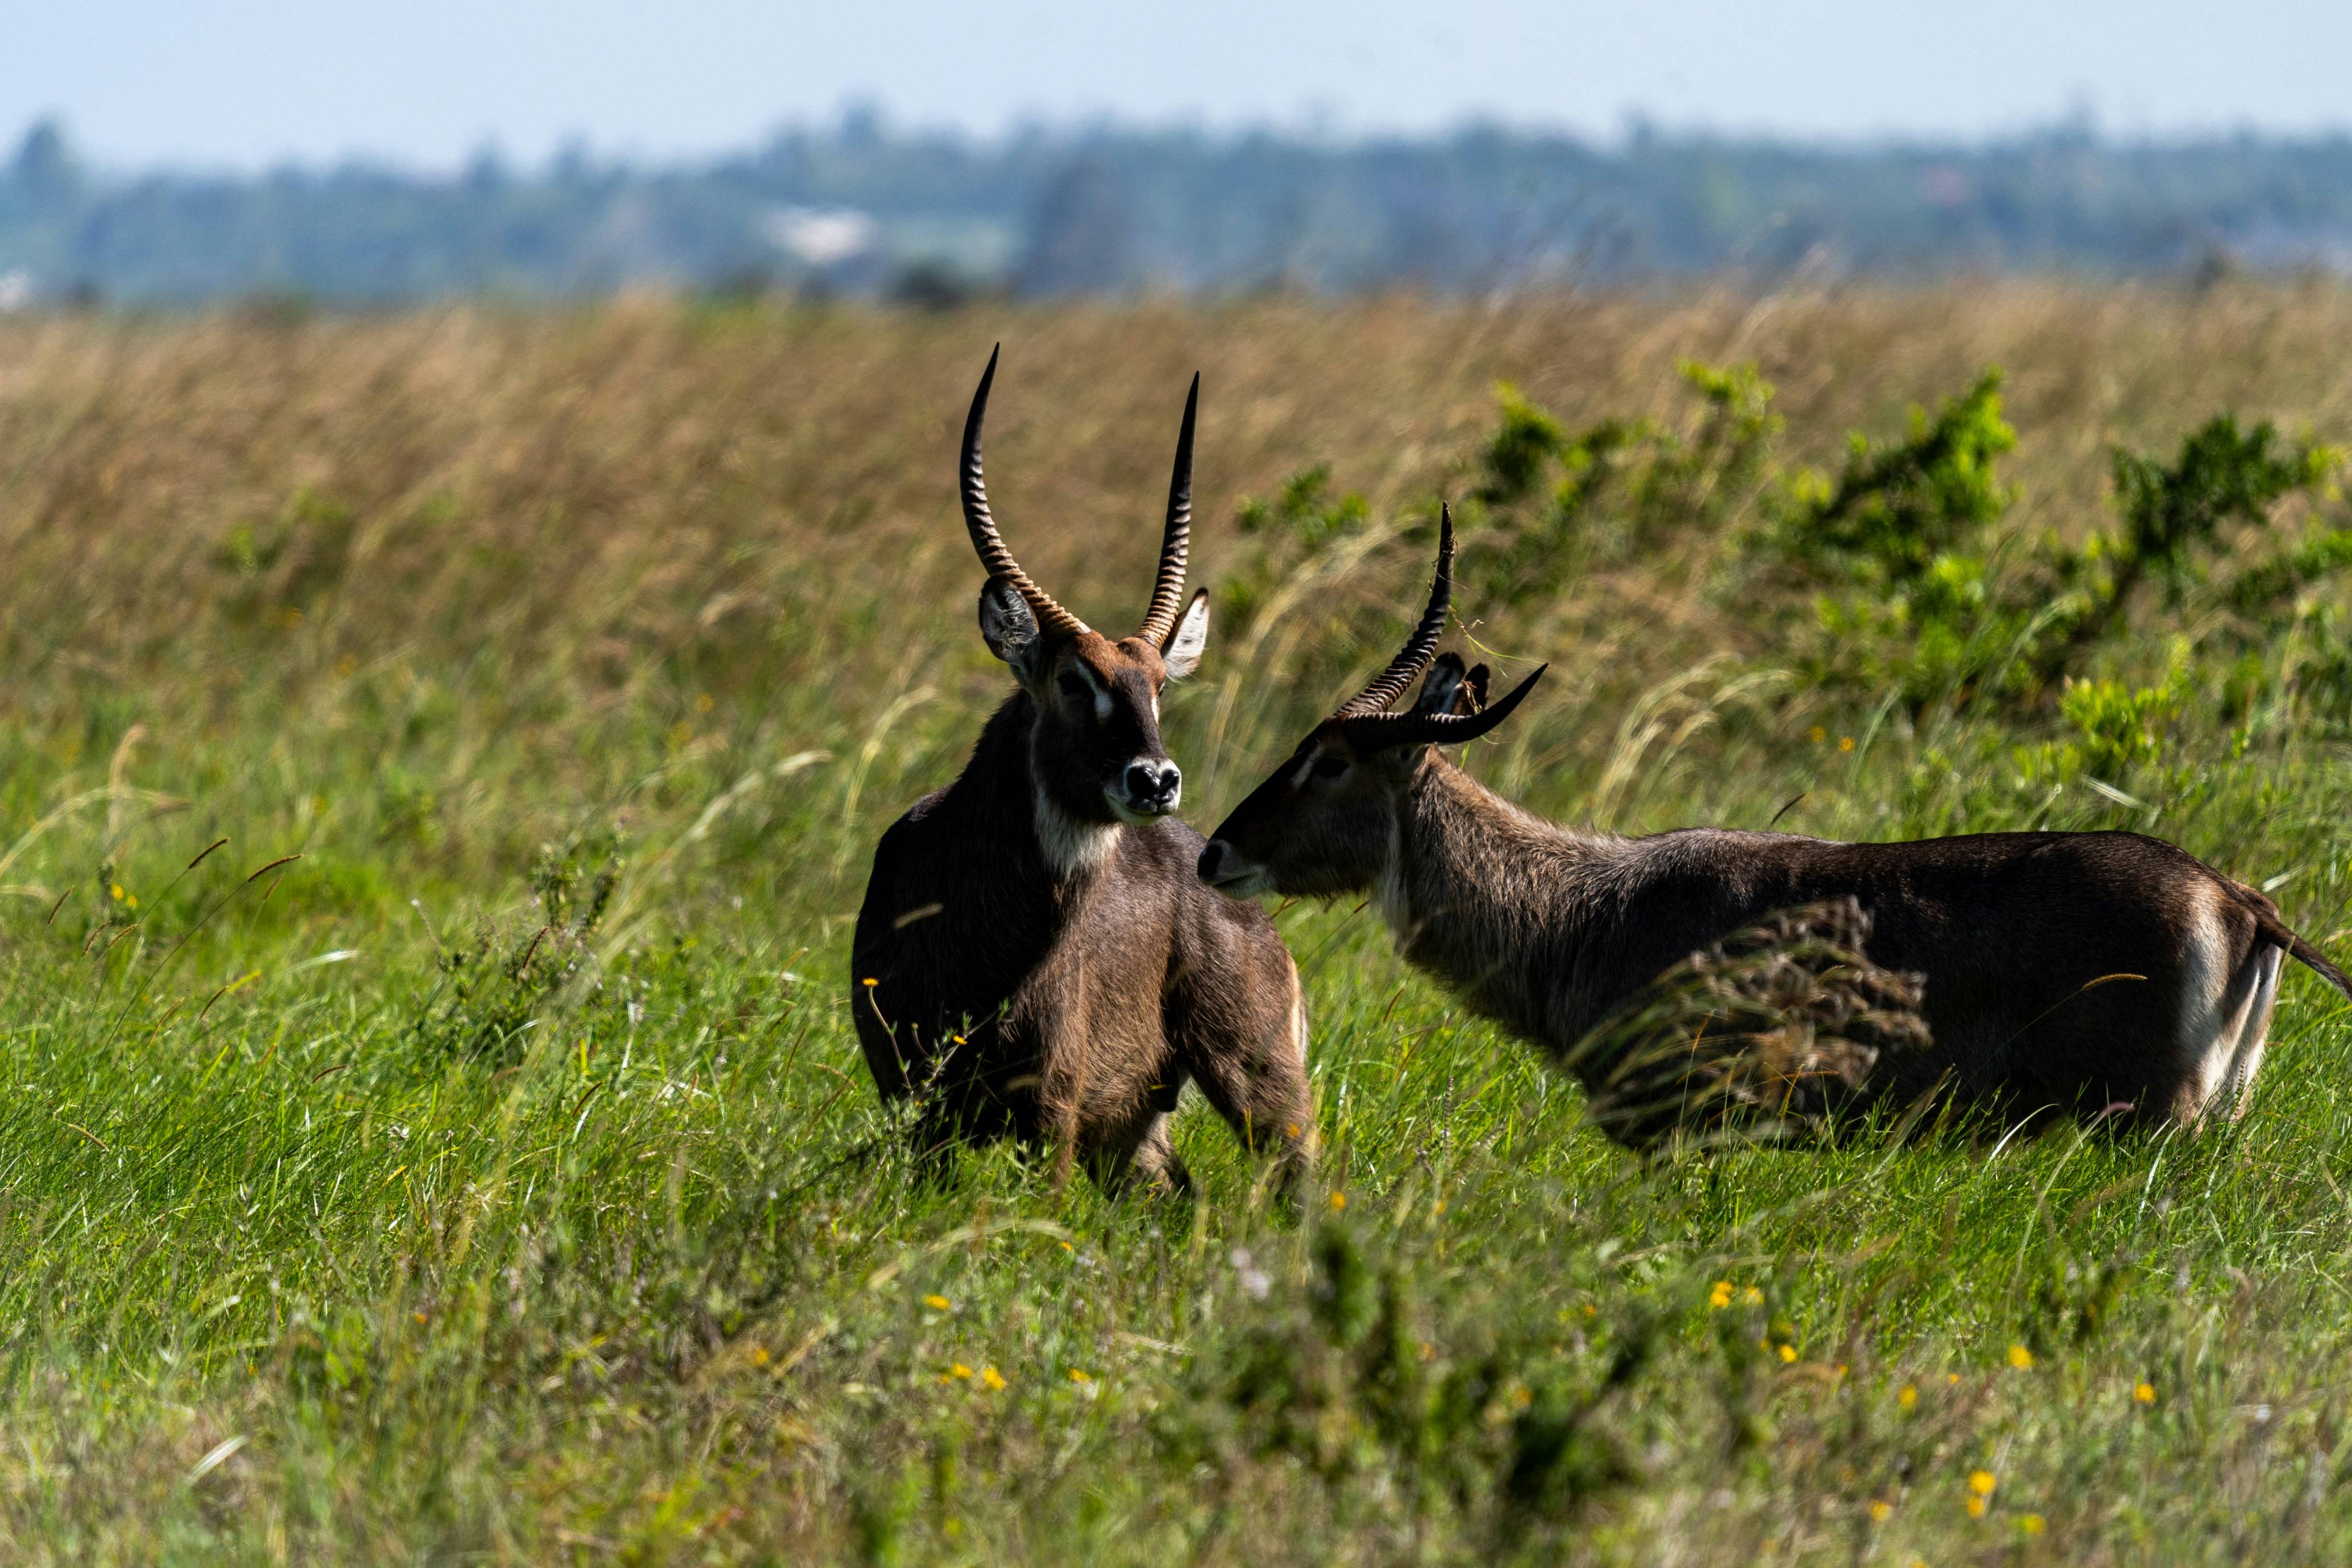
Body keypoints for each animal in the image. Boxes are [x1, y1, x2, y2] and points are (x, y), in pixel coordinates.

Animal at [850, 349, 1312, 1193]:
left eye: (1159, 685)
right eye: (1073, 680)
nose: (1154, 780)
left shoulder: (1054, 1111)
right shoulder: (914, 1103)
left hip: (1257, 1088)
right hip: (1132, 1129)